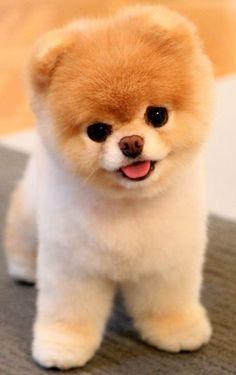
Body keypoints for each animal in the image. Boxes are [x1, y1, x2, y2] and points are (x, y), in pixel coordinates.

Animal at [4, 5, 214, 370]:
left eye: (157, 115)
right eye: (98, 131)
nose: (131, 143)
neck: (127, 204)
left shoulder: (168, 260)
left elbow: (168, 302)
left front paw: (178, 329)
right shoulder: (73, 266)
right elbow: (69, 313)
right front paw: (62, 345)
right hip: (30, 211)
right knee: (22, 236)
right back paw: (24, 268)